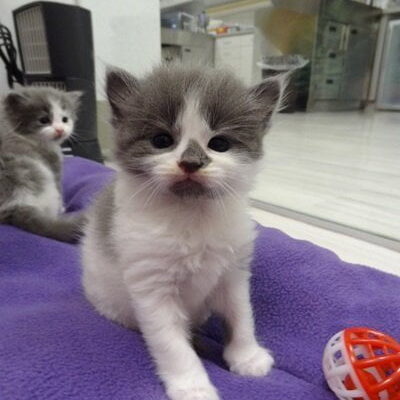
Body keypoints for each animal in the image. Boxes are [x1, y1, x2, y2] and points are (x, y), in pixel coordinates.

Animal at [80, 65, 282, 400]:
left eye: (219, 144)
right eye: (162, 140)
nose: (191, 162)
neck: (191, 215)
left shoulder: (233, 271)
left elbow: (241, 314)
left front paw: (247, 356)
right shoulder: (151, 286)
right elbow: (171, 343)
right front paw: (193, 386)